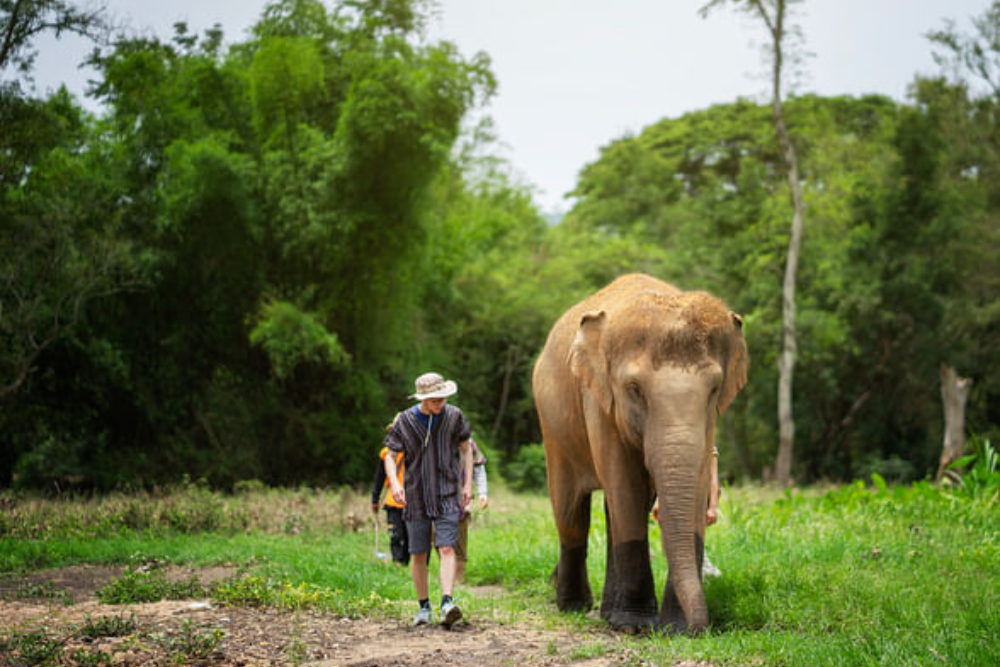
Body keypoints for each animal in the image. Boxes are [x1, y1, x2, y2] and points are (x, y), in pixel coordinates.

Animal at [532, 273, 748, 633]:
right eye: (635, 390)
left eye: (714, 390)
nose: (701, 628)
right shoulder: (600, 401)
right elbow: (626, 486)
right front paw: (636, 627)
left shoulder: (708, 424)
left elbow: (696, 483)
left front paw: (674, 629)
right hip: (552, 427)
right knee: (571, 512)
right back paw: (574, 607)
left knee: (609, 512)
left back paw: (607, 613)